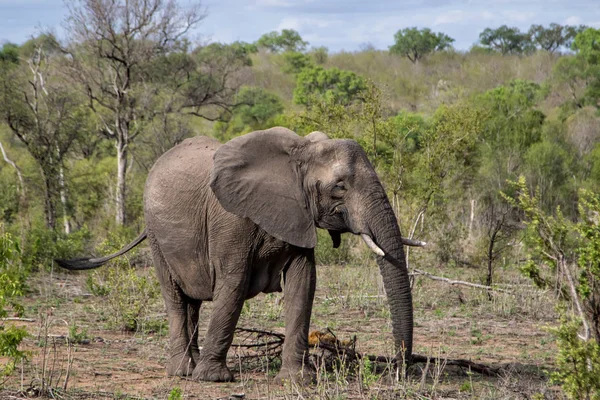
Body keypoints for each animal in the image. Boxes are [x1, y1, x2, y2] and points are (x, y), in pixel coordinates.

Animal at [56, 127, 414, 382]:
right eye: (339, 187)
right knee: (175, 297)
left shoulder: (298, 216)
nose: (400, 370)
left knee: (193, 303)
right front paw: (214, 379)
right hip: (156, 233)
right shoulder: (231, 220)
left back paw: (192, 366)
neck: (297, 154)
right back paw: (183, 372)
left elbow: (304, 284)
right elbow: (234, 284)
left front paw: (298, 380)